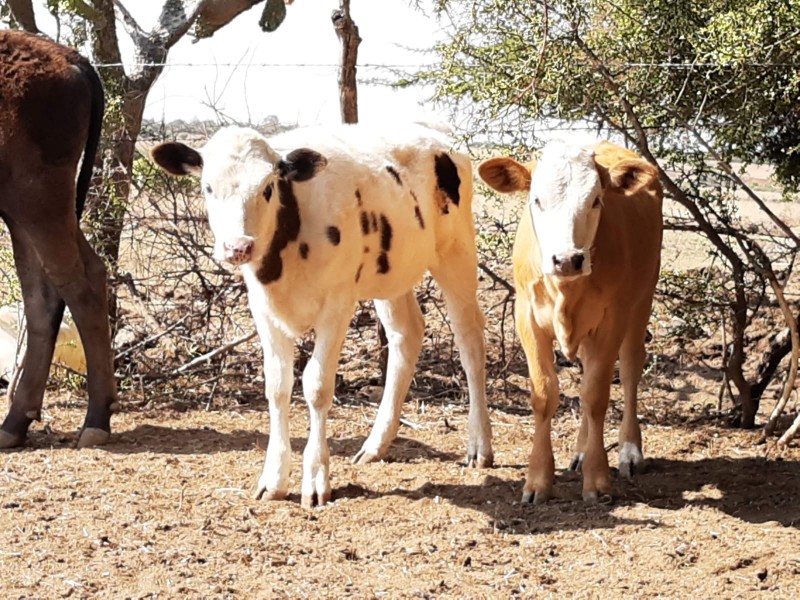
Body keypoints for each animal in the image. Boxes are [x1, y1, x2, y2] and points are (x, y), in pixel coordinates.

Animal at [0, 30, 118, 448]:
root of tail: (70, 59)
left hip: (38, 203)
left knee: (77, 285)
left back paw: (96, 421)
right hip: (26, 212)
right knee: (47, 294)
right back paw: (14, 423)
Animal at [148, 122, 488, 506]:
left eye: (267, 187)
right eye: (207, 187)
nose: (238, 247)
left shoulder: (337, 305)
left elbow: (317, 385)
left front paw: (315, 478)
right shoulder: (262, 309)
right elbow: (277, 386)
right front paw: (274, 478)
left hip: (456, 252)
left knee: (469, 340)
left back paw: (480, 444)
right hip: (392, 272)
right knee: (407, 335)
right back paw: (376, 444)